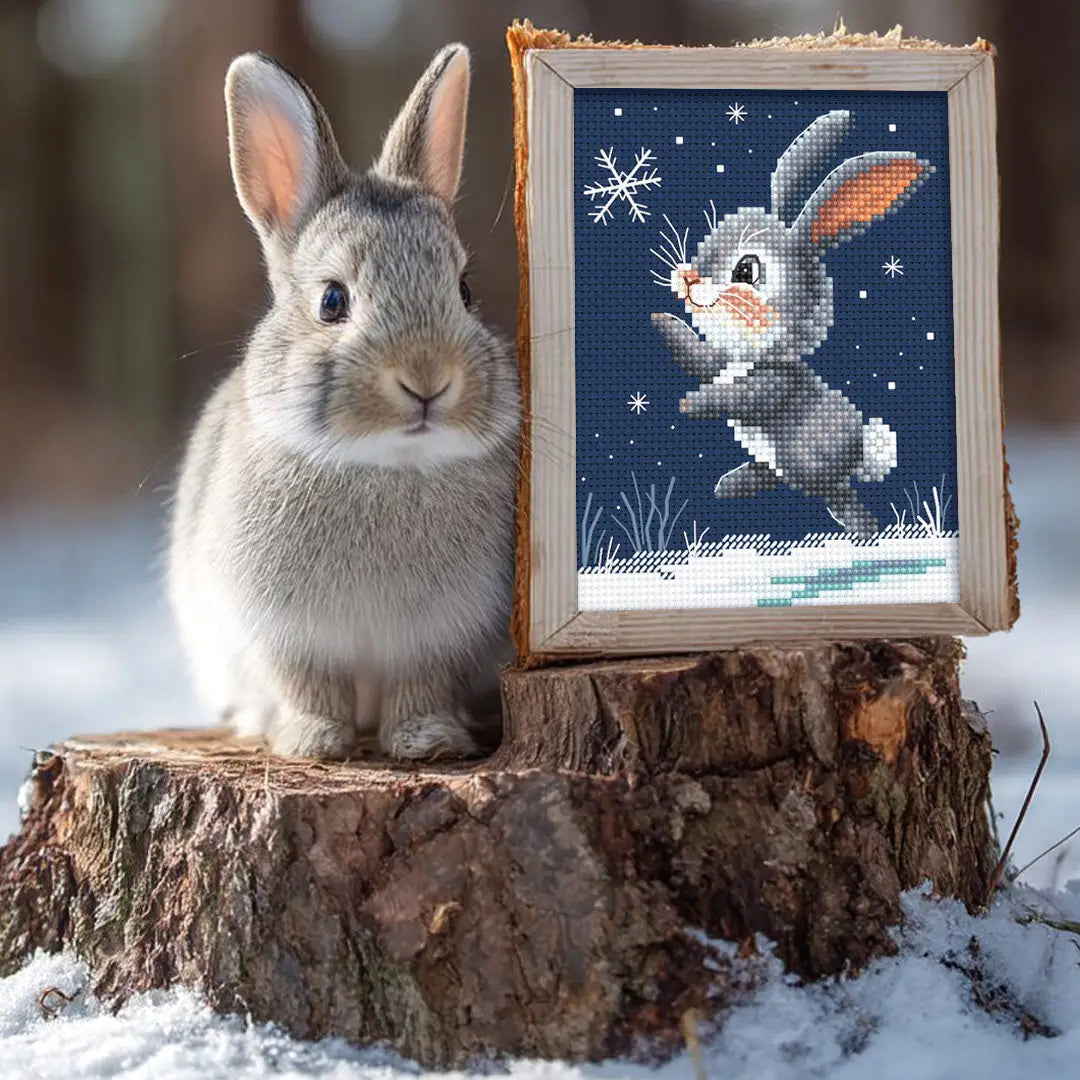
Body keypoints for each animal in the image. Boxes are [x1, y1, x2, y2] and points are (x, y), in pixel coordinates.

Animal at [167, 45, 521, 761]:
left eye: (465, 291)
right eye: (332, 300)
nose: (427, 378)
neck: (386, 465)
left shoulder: (437, 639)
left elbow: (420, 689)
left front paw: (427, 743)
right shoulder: (287, 636)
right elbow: (308, 686)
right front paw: (311, 743)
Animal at [651, 110, 932, 537]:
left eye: (746, 270)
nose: (687, 279)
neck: (751, 357)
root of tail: (860, 453)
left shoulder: (775, 386)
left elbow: (739, 396)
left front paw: (692, 404)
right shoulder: (718, 364)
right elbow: (696, 356)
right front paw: (663, 321)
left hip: (810, 464)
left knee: (836, 496)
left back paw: (868, 531)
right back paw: (733, 484)